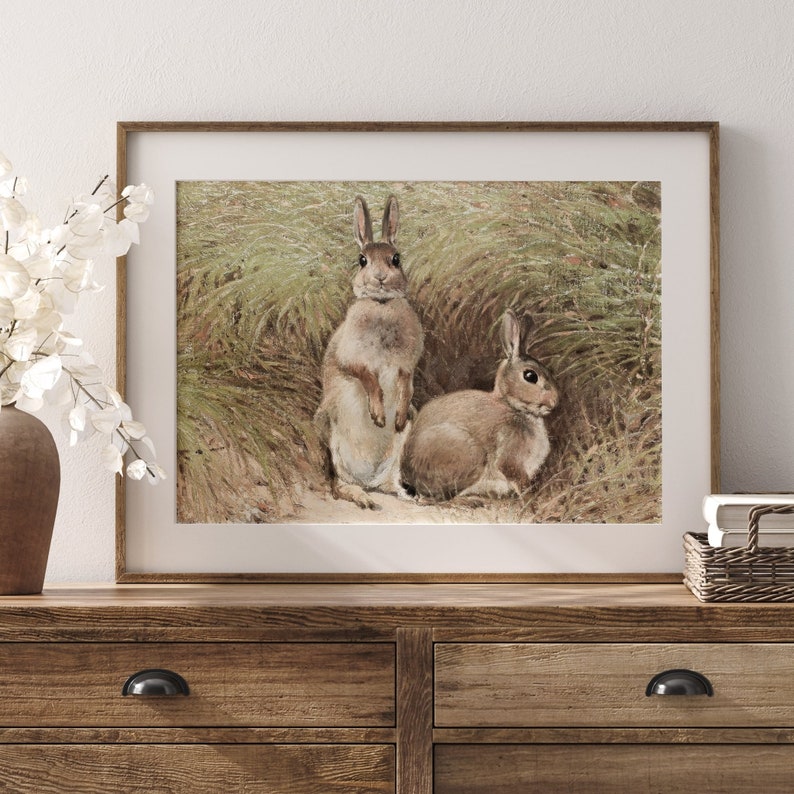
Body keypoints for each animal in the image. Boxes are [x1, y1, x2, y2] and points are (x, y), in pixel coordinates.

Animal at [314, 195, 423, 509]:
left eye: (396, 258)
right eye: (362, 260)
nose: (380, 278)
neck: (381, 305)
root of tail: (369, 477)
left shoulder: (406, 366)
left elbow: (406, 383)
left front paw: (394, 417)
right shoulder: (351, 358)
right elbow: (368, 377)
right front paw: (378, 415)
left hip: (402, 442)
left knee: (389, 481)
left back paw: (409, 495)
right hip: (330, 434)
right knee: (338, 484)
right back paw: (362, 498)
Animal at [401, 308, 558, 501]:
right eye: (530, 376)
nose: (554, 402)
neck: (512, 406)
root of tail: (408, 475)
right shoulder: (509, 455)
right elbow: (515, 476)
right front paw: (530, 497)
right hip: (472, 456)